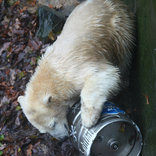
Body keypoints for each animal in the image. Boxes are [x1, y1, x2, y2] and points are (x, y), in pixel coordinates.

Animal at [17, 0, 135, 139]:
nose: (62, 138)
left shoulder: (73, 71)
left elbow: (102, 74)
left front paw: (88, 120)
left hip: (116, 23)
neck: (52, 73)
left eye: (53, 123)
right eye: (43, 131)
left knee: (123, 49)